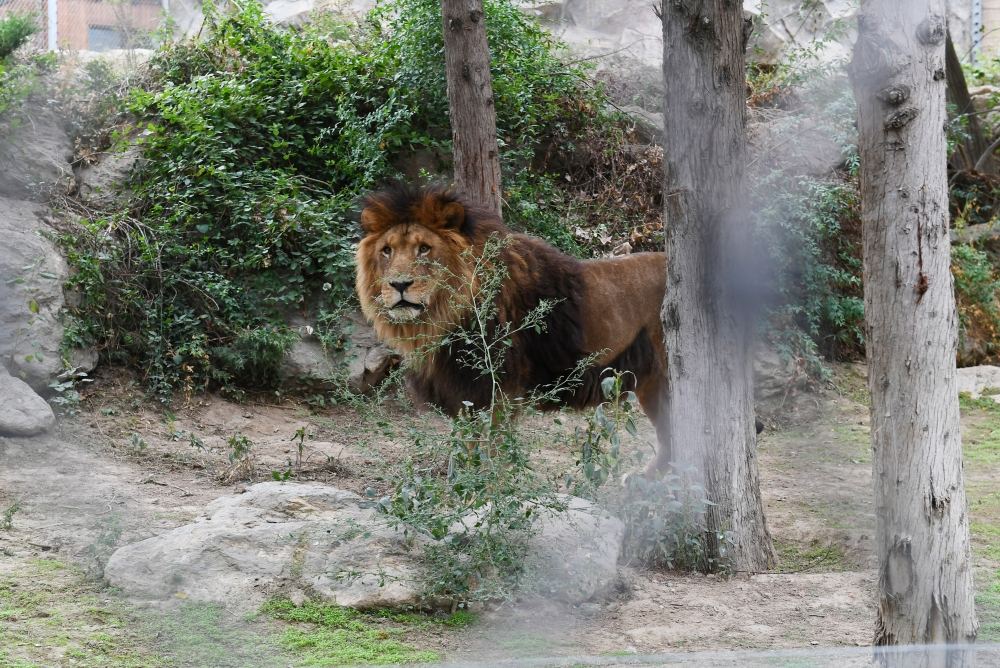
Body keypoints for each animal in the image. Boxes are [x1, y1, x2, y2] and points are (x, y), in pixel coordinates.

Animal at [356, 183, 676, 470]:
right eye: (387, 251)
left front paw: (484, 488)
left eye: (424, 249)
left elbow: (490, 452)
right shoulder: (464, 396)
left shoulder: (497, 393)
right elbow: (467, 449)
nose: (399, 285)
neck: (442, 318)